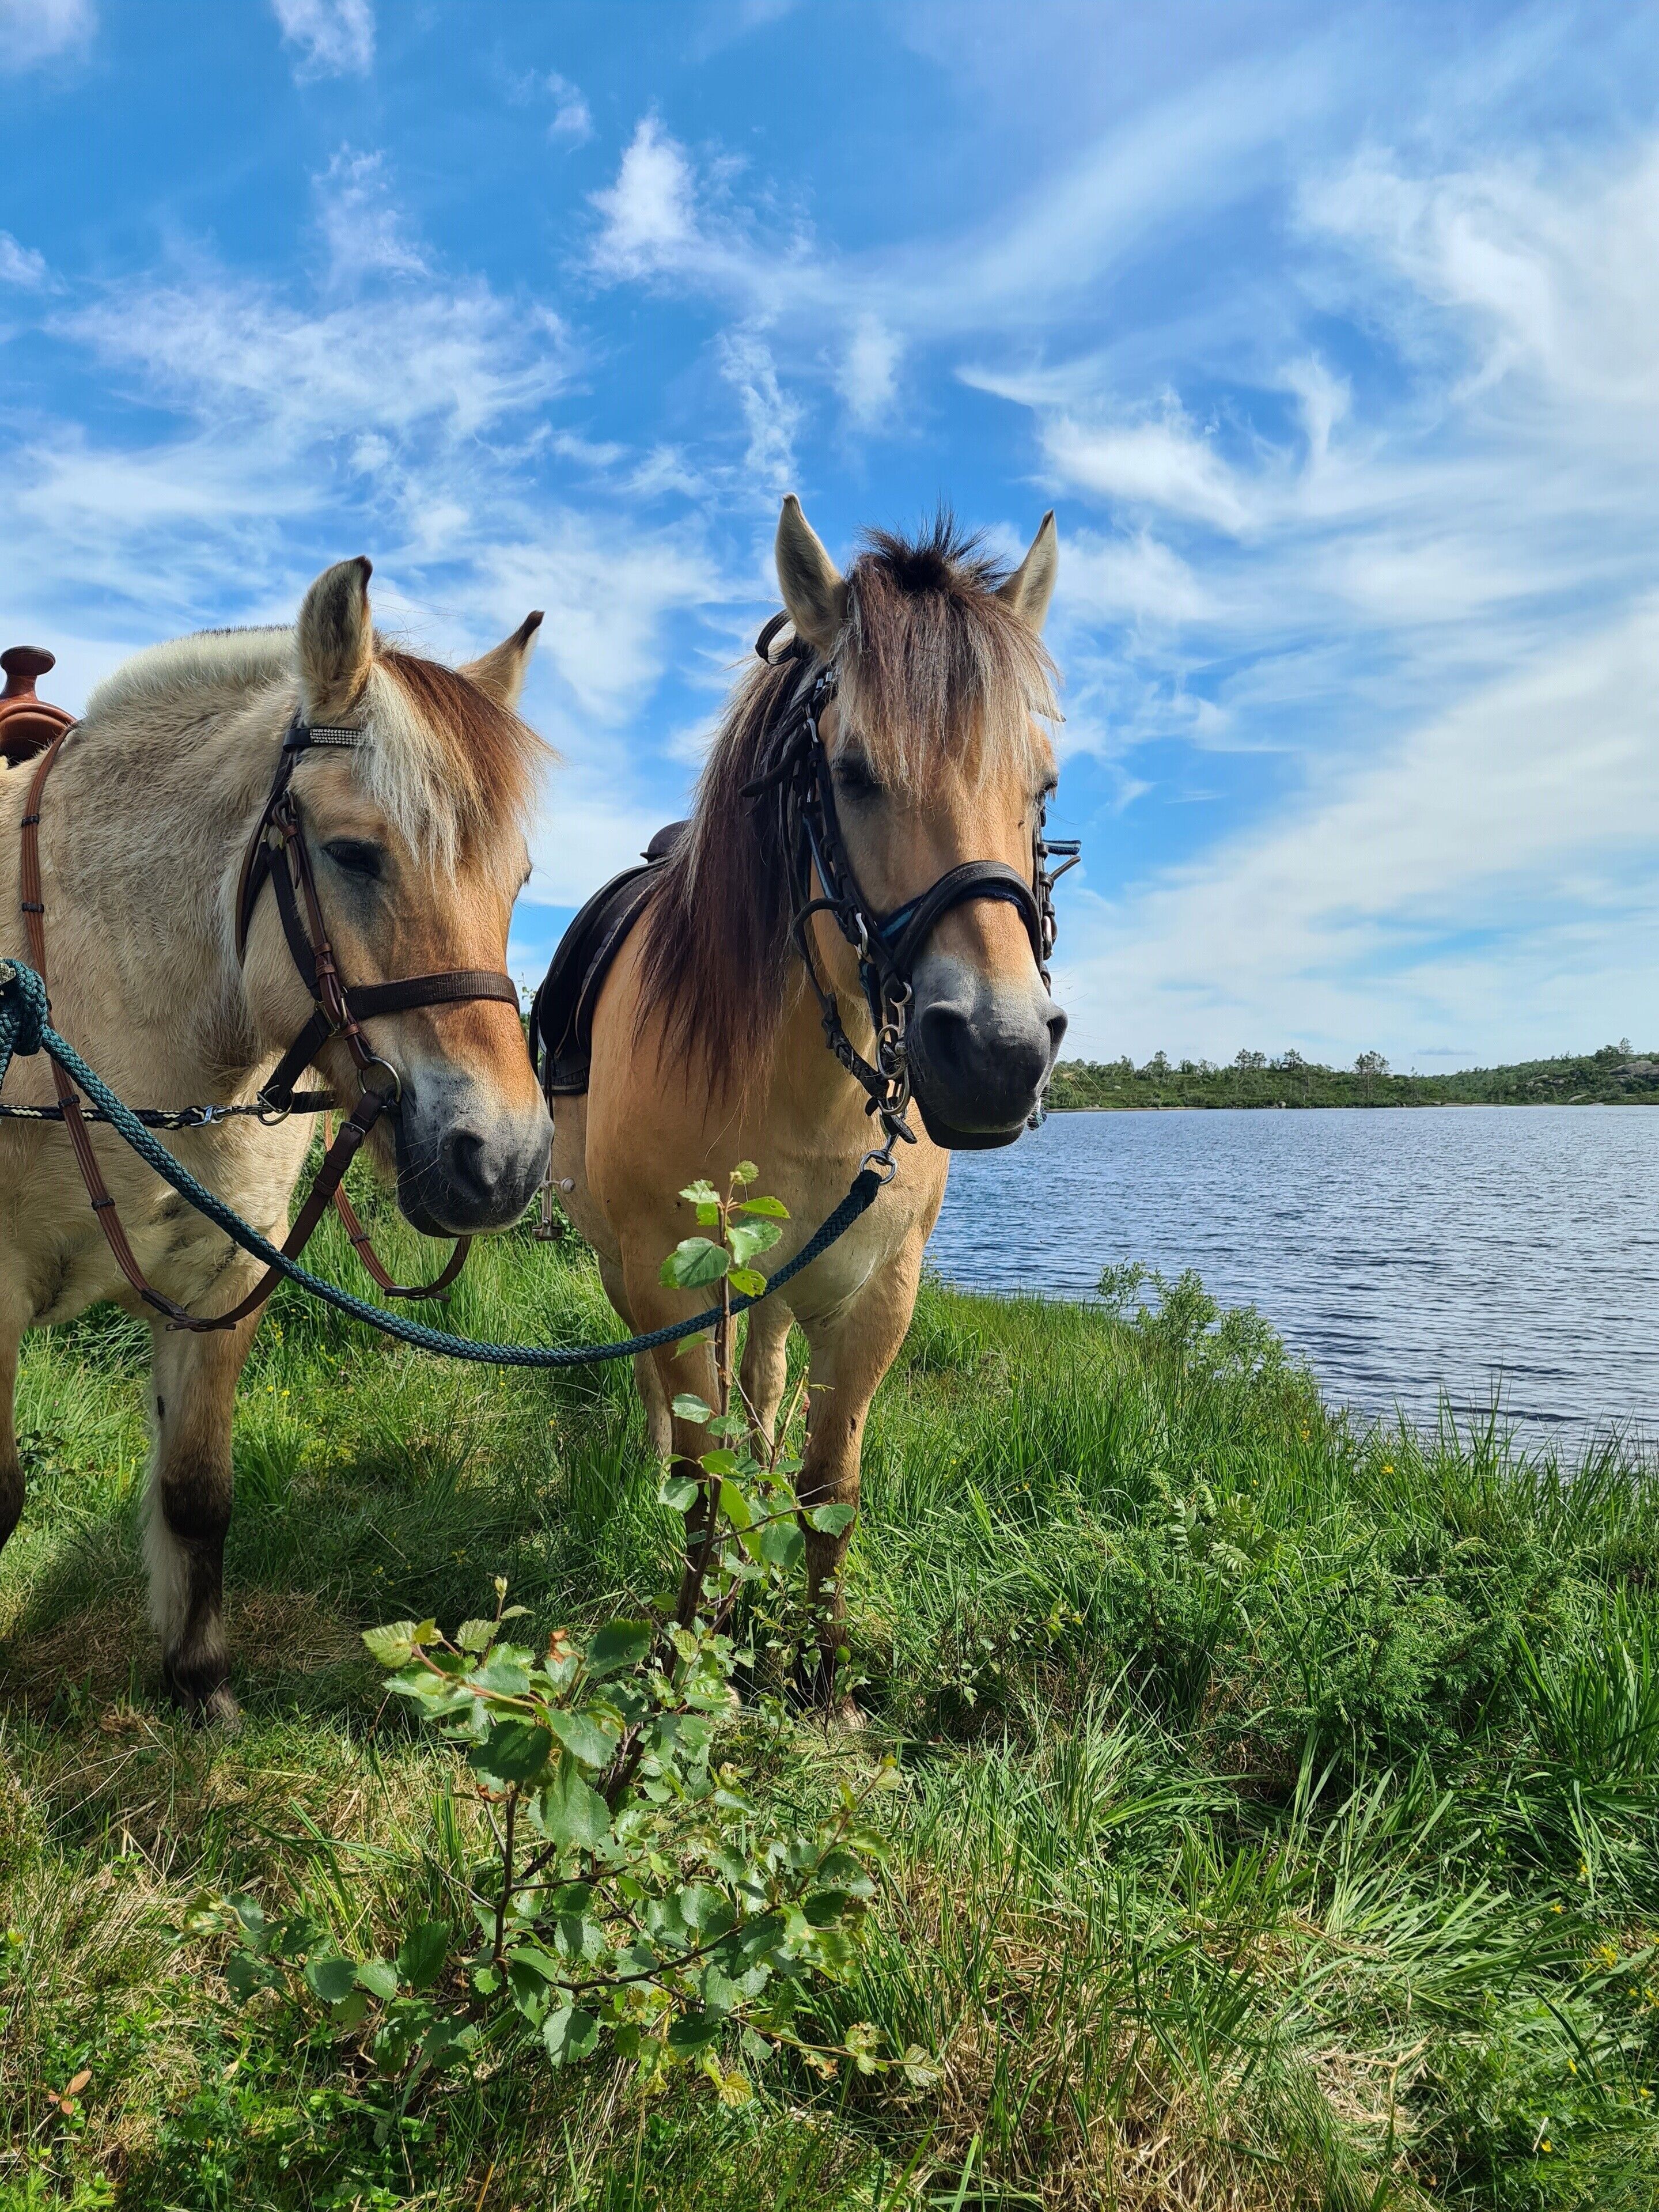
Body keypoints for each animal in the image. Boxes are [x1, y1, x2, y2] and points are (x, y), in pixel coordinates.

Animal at [0, 557, 552, 1723]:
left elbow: (197, 1495)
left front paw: (199, 1681)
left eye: (519, 879)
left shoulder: (219, 1286)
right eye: (351, 854)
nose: (506, 1162)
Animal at [544, 499, 1066, 1696]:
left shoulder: (873, 1295)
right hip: (632, 1267)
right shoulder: (673, 1278)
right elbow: (702, 1478)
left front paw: (821, 1670)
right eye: (856, 772)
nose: (999, 1053)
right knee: (669, 1399)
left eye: (1044, 786)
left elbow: (831, 1487)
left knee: (766, 1397)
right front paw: (689, 1643)